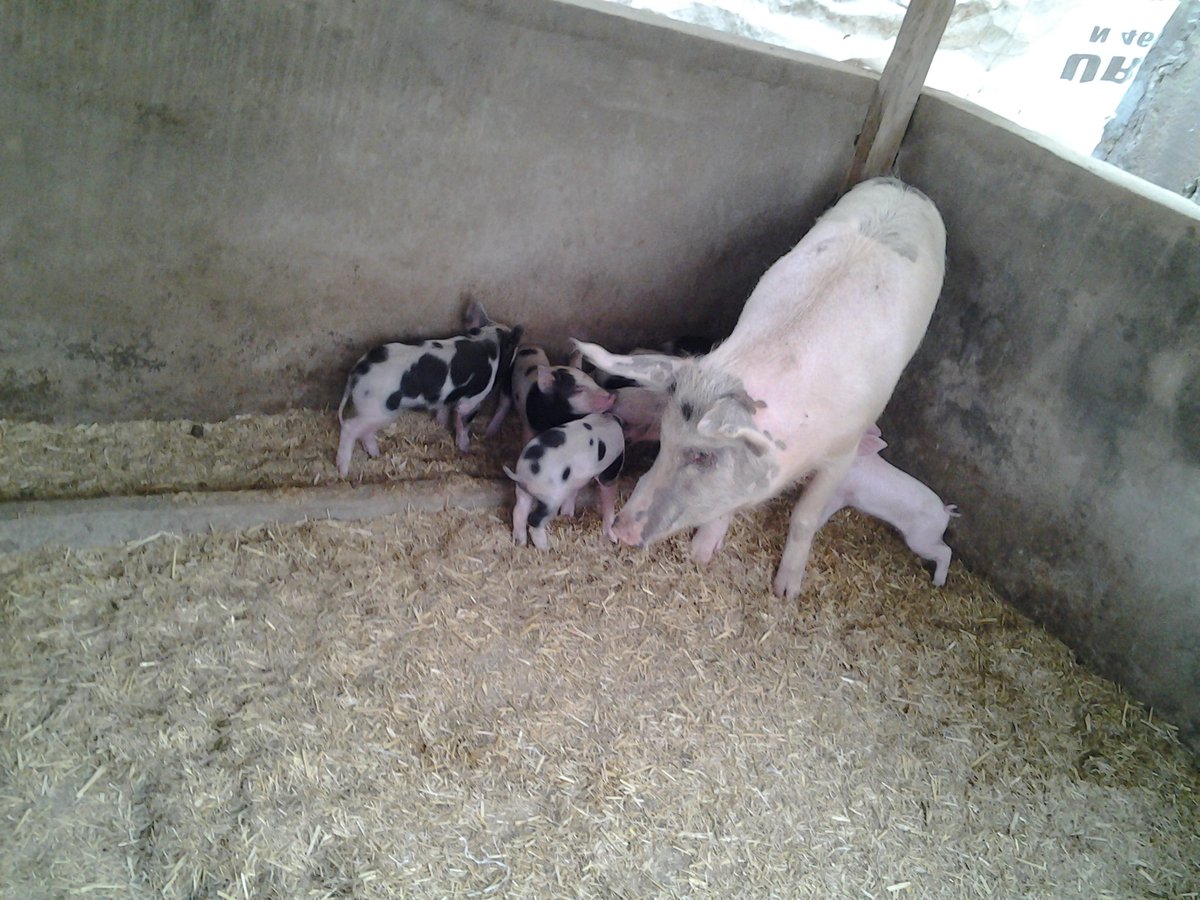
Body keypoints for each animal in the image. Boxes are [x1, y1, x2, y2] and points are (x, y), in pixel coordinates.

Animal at [336, 299, 522, 476]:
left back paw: (375, 454)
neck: (490, 345)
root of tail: (356, 373)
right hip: (378, 410)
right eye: (513, 348)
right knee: (349, 427)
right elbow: (463, 418)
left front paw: (441, 425)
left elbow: (444, 411)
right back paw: (343, 471)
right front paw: (464, 447)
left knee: (365, 431)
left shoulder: (446, 397)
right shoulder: (473, 398)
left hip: (372, 410)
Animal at [504, 413, 626, 550]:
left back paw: (520, 543)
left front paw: (567, 515)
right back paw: (546, 548)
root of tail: (525, 475)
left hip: (522, 491)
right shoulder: (611, 468)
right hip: (551, 498)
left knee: (519, 512)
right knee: (534, 520)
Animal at [821, 428, 959, 586]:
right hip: (932, 537)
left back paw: (937, 584)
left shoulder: (840, 494)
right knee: (945, 547)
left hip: (920, 539)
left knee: (945, 552)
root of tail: (945, 511)